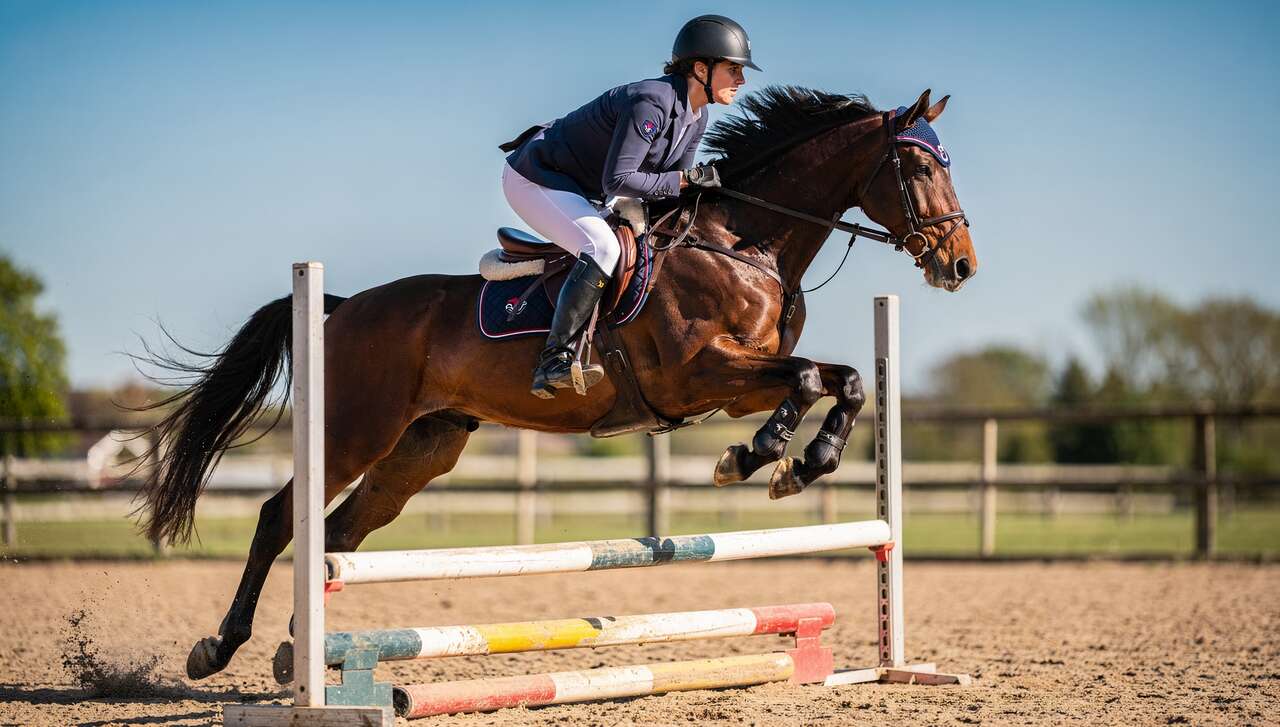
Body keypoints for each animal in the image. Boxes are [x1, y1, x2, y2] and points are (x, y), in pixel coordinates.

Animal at [134, 86, 977, 680]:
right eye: (919, 167)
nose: (961, 264)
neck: (745, 242)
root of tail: (340, 306)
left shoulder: (736, 383)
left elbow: (844, 381)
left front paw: (803, 463)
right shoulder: (702, 371)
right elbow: (805, 378)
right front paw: (756, 457)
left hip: (421, 448)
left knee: (338, 534)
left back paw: (300, 650)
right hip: (354, 428)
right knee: (282, 517)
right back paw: (221, 648)